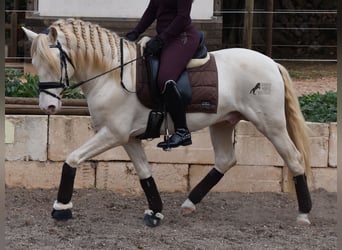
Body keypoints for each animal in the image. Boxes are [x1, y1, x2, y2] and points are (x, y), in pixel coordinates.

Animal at [22, 19, 312, 227]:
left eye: (54, 62)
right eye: (35, 63)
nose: (47, 107)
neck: (112, 76)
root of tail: (272, 63)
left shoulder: (113, 134)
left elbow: (72, 159)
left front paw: (61, 209)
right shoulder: (128, 138)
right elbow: (144, 173)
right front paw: (155, 212)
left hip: (271, 124)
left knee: (294, 158)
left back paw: (304, 214)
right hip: (222, 122)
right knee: (226, 160)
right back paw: (189, 204)